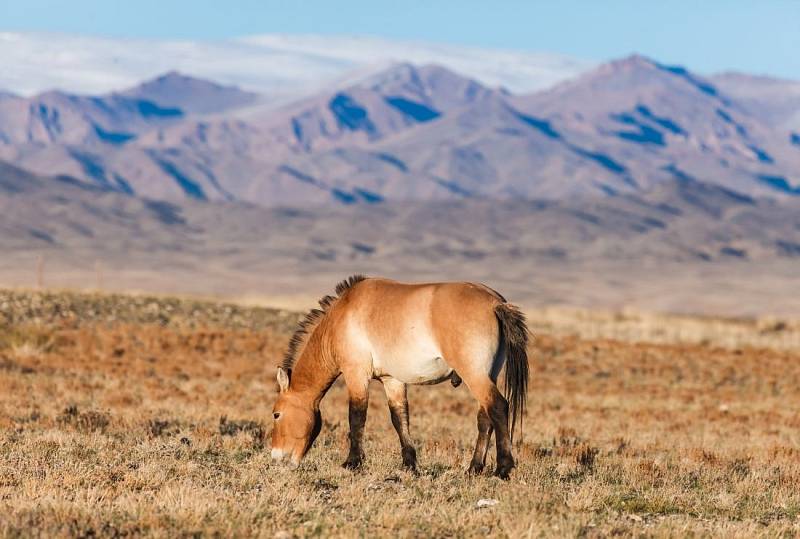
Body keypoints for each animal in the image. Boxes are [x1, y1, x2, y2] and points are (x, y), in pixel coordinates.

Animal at [270, 276, 532, 478]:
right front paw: (409, 464)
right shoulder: (392, 380)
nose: (276, 457)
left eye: (276, 414)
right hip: (487, 375)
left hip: (474, 374)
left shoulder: (356, 375)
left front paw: (352, 463)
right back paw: (473, 468)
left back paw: (502, 469)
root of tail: (495, 303)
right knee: (485, 418)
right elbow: (399, 418)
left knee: (498, 407)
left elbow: (356, 417)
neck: (341, 316)